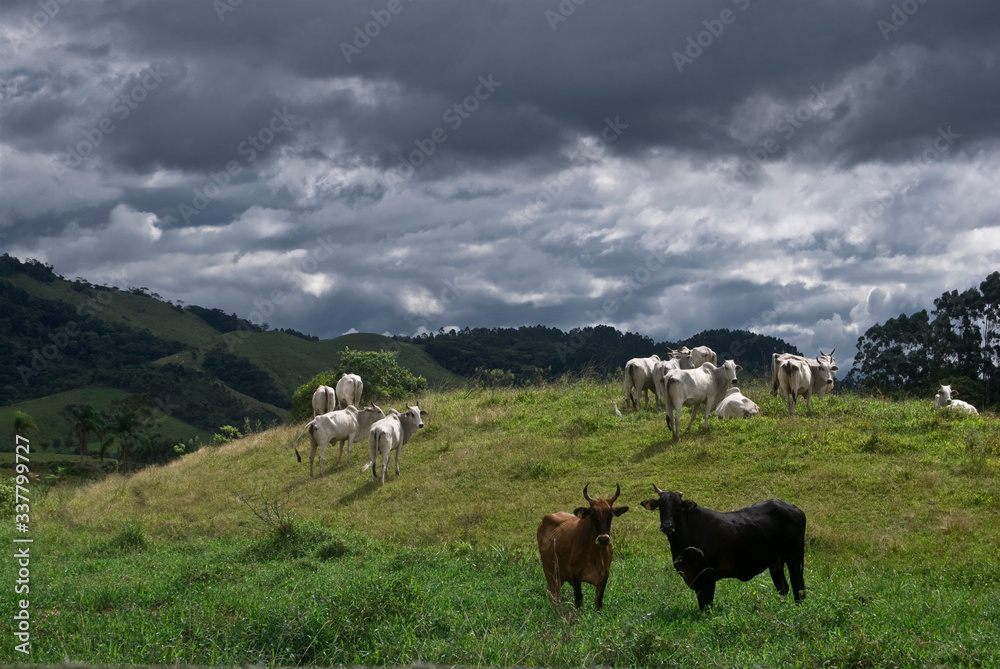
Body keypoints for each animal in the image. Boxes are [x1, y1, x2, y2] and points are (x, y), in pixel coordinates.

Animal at [640, 486, 804, 612]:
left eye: (678, 505)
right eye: (660, 505)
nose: (667, 526)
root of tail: (793, 508)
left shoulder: (708, 575)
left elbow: (706, 606)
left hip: (795, 558)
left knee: (799, 589)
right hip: (775, 563)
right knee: (784, 588)